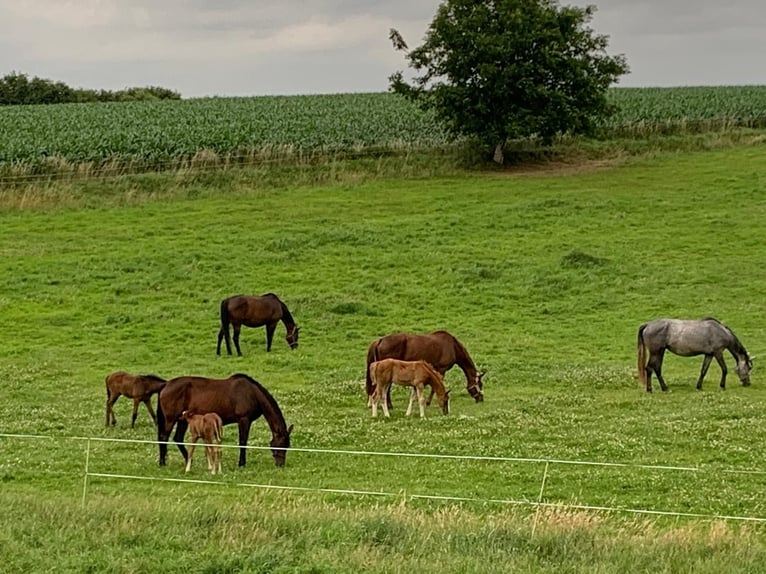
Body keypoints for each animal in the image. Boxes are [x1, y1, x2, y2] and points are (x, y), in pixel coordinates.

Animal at [157, 373, 293, 467]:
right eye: (281, 445)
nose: (280, 464)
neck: (252, 393)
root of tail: (166, 384)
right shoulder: (244, 420)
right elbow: (243, 441)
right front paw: (242, 463)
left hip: (183, 420)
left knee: (177, 438)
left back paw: (188, 459)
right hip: (171, 419)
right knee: (164, 437)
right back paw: (162, 462)